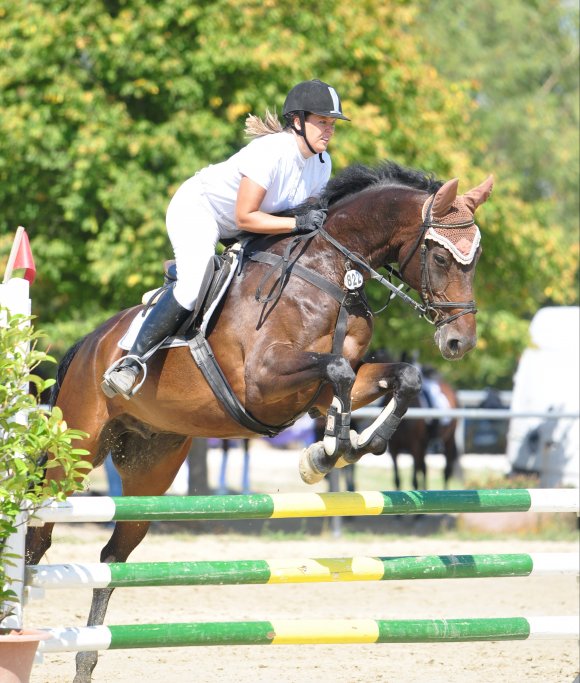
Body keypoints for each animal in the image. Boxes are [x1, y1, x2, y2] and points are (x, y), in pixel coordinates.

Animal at [24, 162, 492, 683]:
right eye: (441, 255)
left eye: (476, 257)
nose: (459, 342)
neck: (331, 273)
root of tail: (88, 343)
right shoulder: (263, 380)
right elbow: (338, 370)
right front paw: (329, 450)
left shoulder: (320, 388)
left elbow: (397, 378)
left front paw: (335, 449)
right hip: (78, 450)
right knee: (38, 536)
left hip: (152, 467)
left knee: (113, 558)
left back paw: (87, 659)